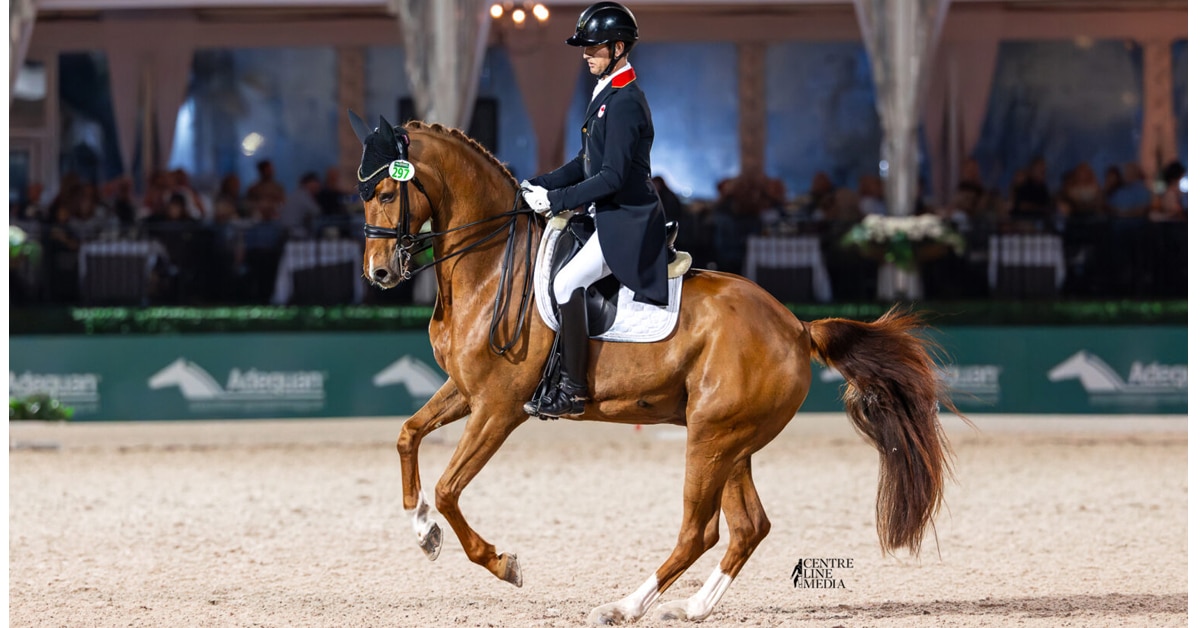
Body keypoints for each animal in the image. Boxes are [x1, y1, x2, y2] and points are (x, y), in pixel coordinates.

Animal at [354, 116, 964, 624]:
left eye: (386, 192)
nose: (380, 273)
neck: (490, 265)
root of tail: (795, 326)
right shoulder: (467, 391)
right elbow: (408, 435)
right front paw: (423, 529)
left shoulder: (500, 407)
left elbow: (449, 488)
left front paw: (500, 562)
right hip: (729, 440)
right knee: (748, 527)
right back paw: (692, 608)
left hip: (713, 438)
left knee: (700, 530)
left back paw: (623, 606)